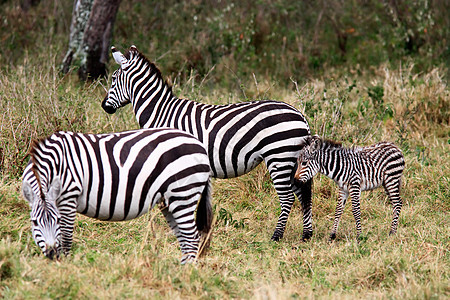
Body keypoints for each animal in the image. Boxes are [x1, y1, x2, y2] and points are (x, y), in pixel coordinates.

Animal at [23, 127, 214, 264]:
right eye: (34, 222)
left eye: (55, 220)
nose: (51, 255)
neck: (57, 164)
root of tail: (199, 144)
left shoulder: (69, 196)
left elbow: (66, 236)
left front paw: (66, 266)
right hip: (169, 201)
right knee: (184, 238)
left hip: (183, 193)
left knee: (192, 238)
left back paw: (186, 275)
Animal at [102, 45, 312, 241]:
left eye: (113, 79)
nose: (104, 106)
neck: (161, 112)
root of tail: (300, 115)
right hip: (292, 161)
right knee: (303, 195)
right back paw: (306, 235)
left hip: (280, 157)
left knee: (288, 197)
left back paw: (277, 236)